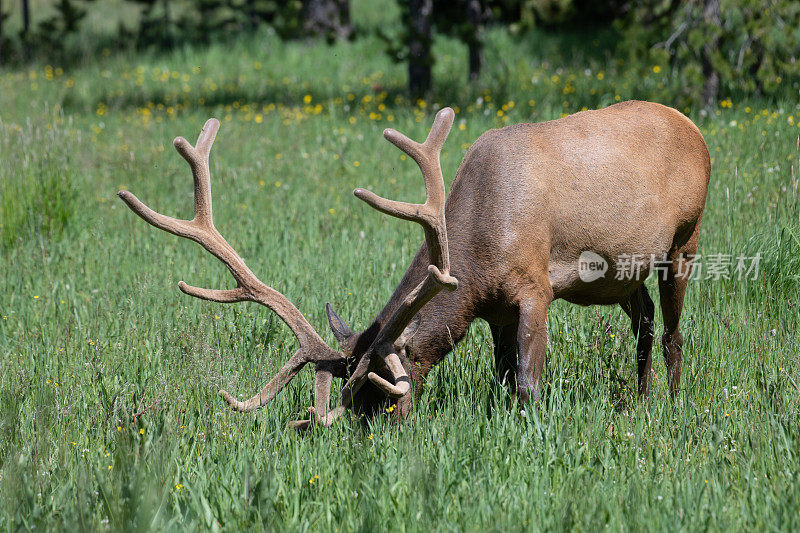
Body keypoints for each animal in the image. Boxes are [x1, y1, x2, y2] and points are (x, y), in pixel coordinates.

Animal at [117, 98, 708, 424]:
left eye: (383, 396)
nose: (373, 440)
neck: (477, 254)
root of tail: (695, 127)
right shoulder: (494, 310)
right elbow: (500, 378)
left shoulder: (534, 287)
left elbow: (526, 383)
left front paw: (528, 430)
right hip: (623, 273)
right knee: (645, 320)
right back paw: (640, 399)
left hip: (687, 238)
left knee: (674, 328)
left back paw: (674, 404)